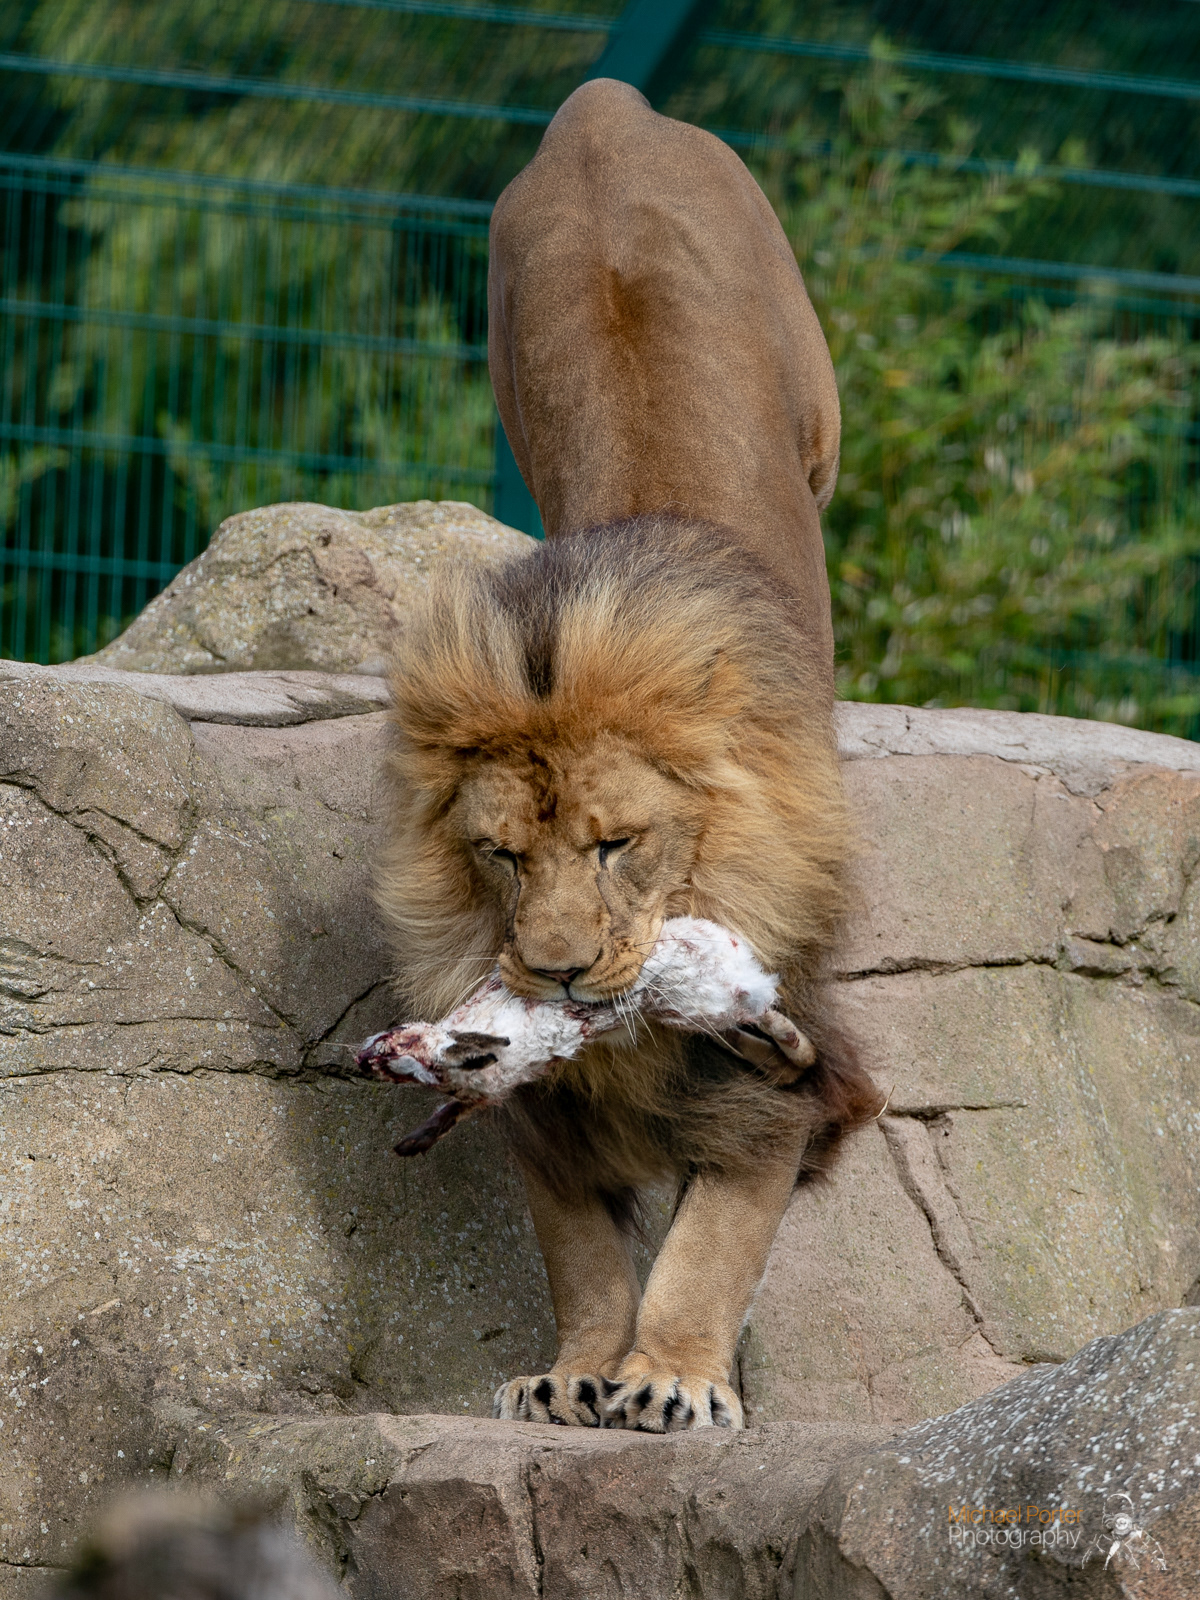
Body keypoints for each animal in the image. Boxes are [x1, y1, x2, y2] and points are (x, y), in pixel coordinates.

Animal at [380, 75, 889, 1433]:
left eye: (617, 844)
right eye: (501, 855)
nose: (553, 973)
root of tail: (605, 106)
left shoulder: (779, 1083)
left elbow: (710, 1244)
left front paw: (670, 1379)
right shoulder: (542, 1116)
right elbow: (584, 1251)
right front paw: (576, 1369)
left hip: (815, 402)